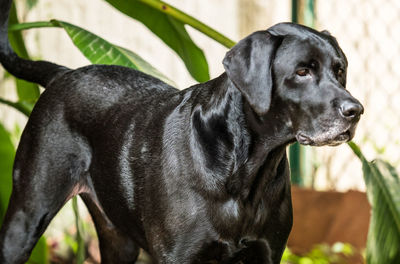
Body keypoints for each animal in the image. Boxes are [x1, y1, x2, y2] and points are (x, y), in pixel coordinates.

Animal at [0, 1, 362, 262]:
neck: (244, 170)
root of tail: (63, 74)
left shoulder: (267, 252)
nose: (355, 111)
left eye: (340, 70)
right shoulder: (179, 255)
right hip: (25, 217)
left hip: (118, 239)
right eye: (302, 71)